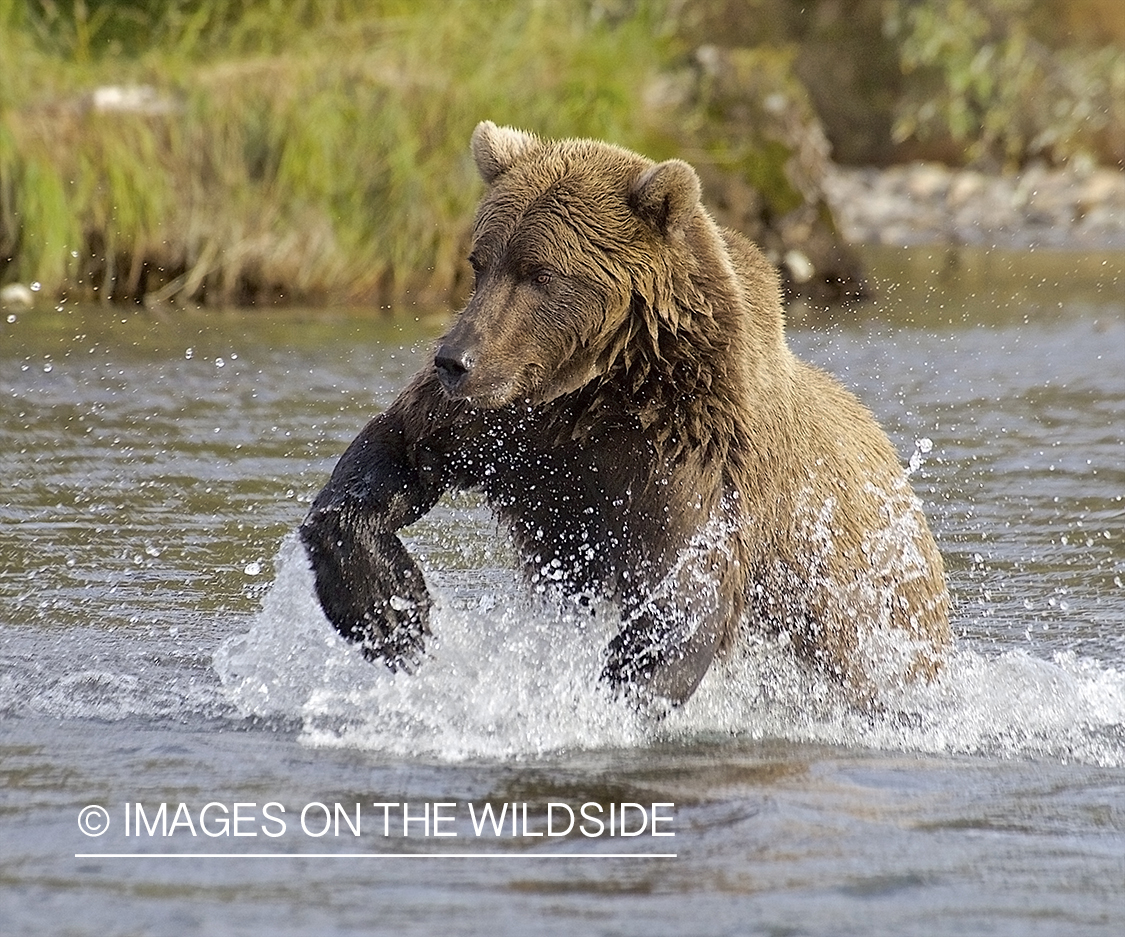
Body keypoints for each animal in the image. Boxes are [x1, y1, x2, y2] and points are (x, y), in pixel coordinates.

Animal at [299, 120, 950, 708]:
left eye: (540, 273)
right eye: (480, 261)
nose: (454, 360)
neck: (604, 386)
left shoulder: (688, 446)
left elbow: (684, 586)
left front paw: (611, 694)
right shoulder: (512, 426)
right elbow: (396, 454)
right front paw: (395, 614)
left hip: (870, 613)